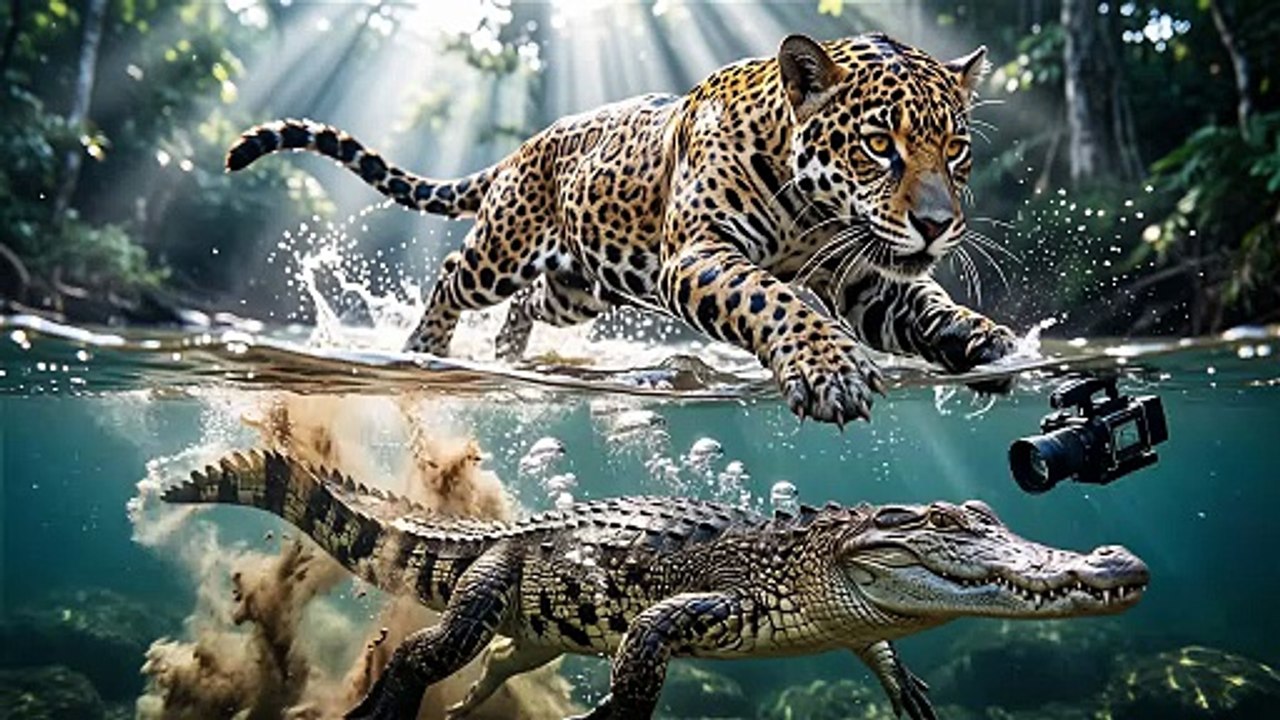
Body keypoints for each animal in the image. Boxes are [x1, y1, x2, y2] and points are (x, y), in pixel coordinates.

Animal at [226, 32, 1018, 427]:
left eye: (956, 149)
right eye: (880, 145)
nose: (937, 225)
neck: (813, 216)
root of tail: (530, 144)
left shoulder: (864, 279)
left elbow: (925, 305)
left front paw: (985, 341)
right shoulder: (699, 255)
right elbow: (773, 297)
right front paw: (831, 372)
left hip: (582, 285)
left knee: (532, 302)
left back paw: (510, 352)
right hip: (504, 246)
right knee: (455, 274)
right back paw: (427, 349)